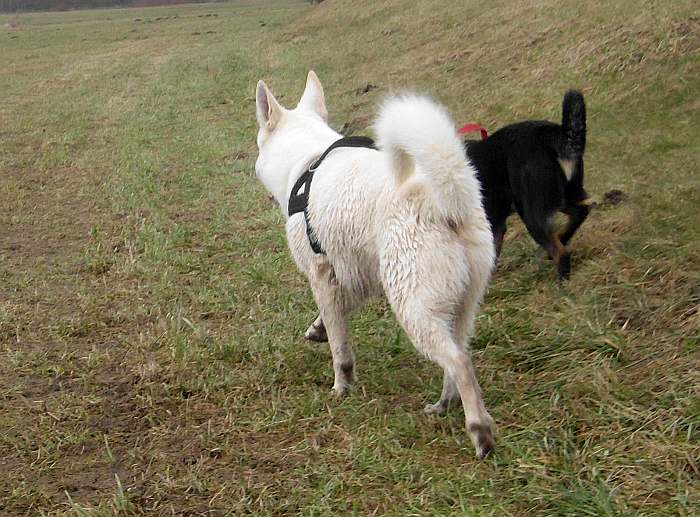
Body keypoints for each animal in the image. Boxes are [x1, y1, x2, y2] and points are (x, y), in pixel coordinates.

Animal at [254, 70, 494, 458]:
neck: (307, 161)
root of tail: (446, 202)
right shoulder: (357, 276)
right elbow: (335, 316)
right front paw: (317, 329)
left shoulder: (322, 276)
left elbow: (340, 348)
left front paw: (342, 387)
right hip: (459, 309)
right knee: (459, 359)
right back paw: (443, 406)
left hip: (413, 308)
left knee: (459, 363)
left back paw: (480, 432)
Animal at [464, 90, 592, 280]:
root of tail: (551, 135)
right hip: (559, 197)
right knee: (581, 212)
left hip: (531, 213)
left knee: (561, 253)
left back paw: (562, 282)